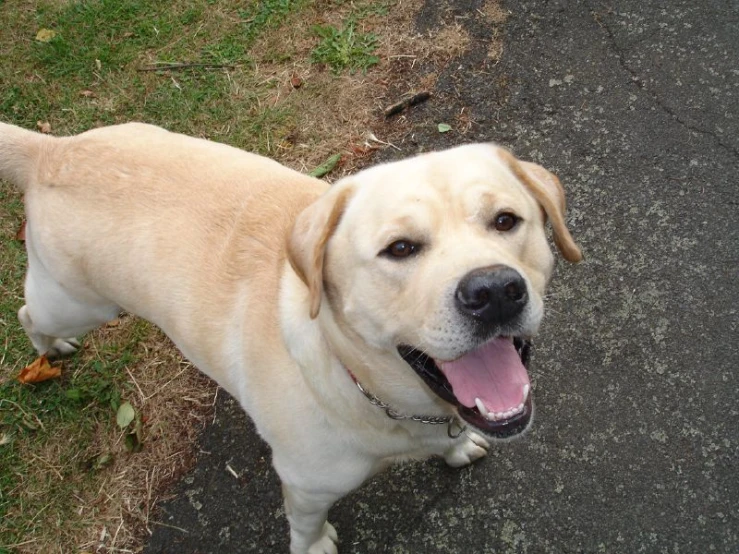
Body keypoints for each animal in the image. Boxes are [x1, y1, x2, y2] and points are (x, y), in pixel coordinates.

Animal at [0, 122, 580, 552]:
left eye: (505, 220)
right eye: (399, 248)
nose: (495, 291)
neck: (363, 385)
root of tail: (52, 149)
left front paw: (457, 448)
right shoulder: (305, 484)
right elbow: (305, 526)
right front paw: (315, 545)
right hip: (76, 304)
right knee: (30, 314)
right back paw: (49, 352)